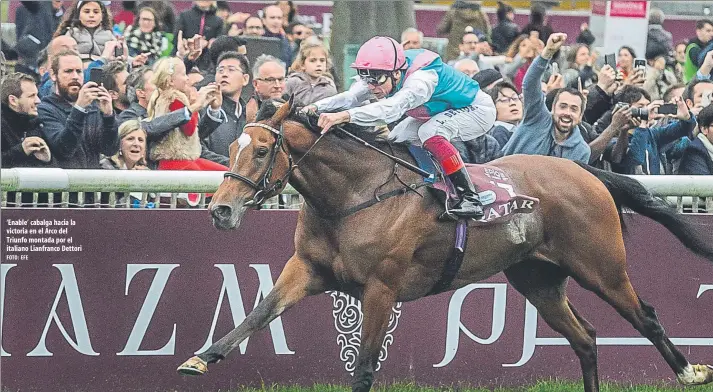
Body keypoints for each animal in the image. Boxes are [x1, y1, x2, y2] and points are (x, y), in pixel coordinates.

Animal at [177, 98, 712, 392]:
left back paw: (691, 373)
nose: (220, 211)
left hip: (601, 267)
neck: (355, 194)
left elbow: (365, 366)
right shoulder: (308, 269)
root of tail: (586, 170)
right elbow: (258, 312)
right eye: (231, 148)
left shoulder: (382, 287)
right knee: (585, 337)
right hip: (537, 278)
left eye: (263, 151)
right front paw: (201, 358)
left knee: (645, 316)